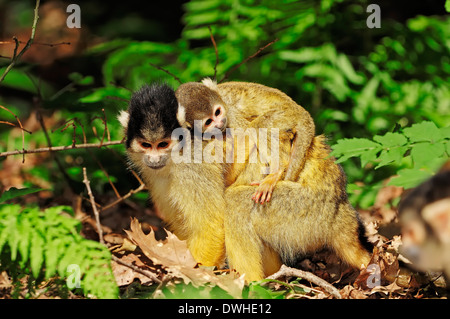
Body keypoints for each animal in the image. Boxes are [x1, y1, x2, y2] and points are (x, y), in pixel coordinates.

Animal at [174, 79, 314, 204]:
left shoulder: (230, 113)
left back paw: (276, 171)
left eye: (217, 112)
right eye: (208, 122)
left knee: (258, 125)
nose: (220, 123)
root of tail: (302, 113)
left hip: (286, 115)